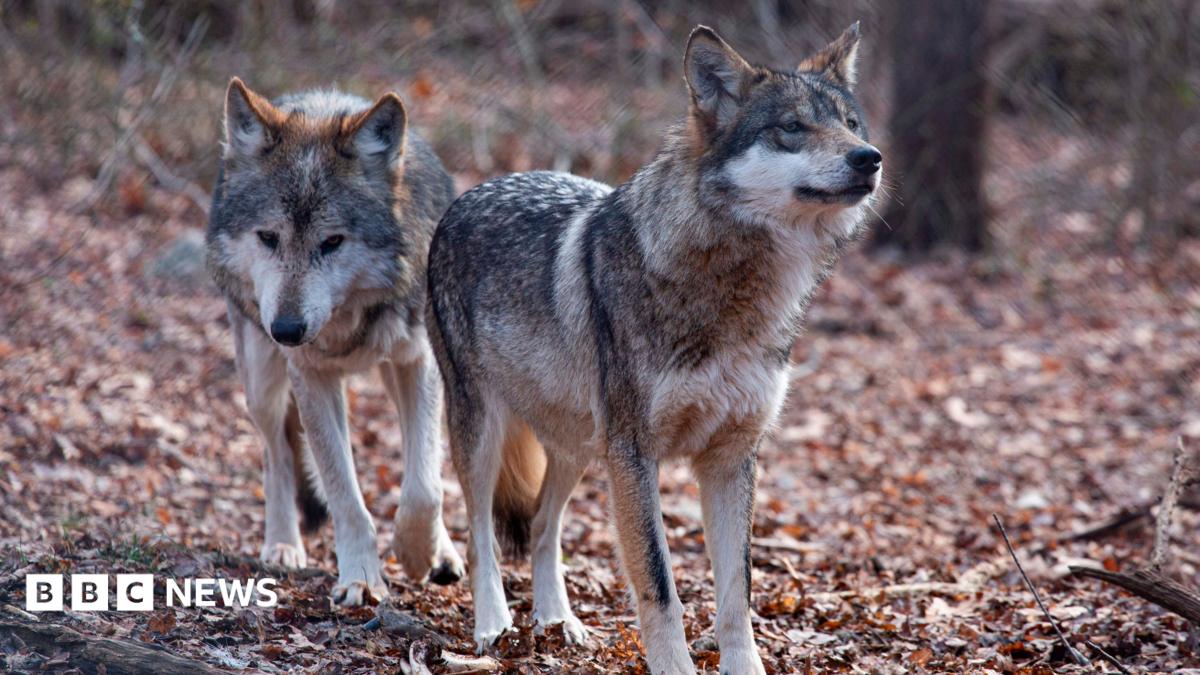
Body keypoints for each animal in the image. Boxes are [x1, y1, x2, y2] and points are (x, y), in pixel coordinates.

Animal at [206, 78, 464, 607]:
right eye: (268, 237)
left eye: (332, 242)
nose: (286, 330)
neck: (347, 321)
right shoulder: (311, 376)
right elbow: (345, 494)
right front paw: (362, 577)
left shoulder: (419, 362)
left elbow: (424, 486)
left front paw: (416, 553)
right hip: (262, 382)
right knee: (277, 456)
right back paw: (283, 544)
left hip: (395, 373)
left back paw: (443, 552)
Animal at [426, 24, 880, 674]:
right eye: (792, 127)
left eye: (851, 123)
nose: (870, 158)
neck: (734, 293)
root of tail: (472, 191)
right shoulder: (637, 455)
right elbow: (660, 586)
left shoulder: (731, 458)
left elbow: (738, 594)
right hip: (487, 433)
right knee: (480, 534)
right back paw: (494, 627)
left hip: (580, 447)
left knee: (541, 525)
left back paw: (557, 622)